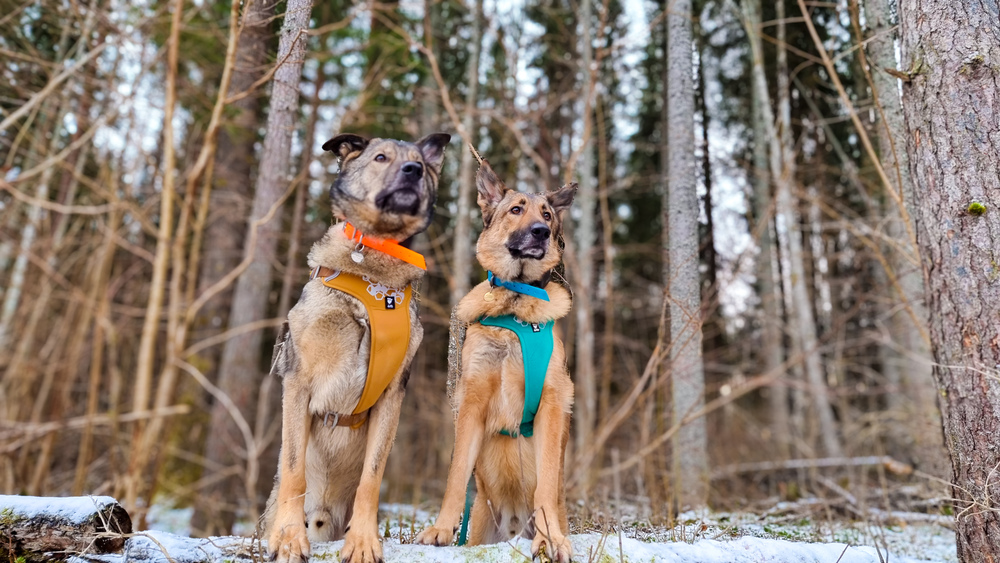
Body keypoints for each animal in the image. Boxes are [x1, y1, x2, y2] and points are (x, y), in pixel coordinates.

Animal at [268, 133, 452, 563]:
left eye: (420, 163)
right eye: (381, 157)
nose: (412, 171)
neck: (374, 262)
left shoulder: (392, 394)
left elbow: (372, 478)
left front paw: (364, 541)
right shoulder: (297, 381)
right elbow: (294, 469)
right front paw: (288, 537)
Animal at [416, 160, 580, 563]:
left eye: (547, 214)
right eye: (516, 209)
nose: (541, 232)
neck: (514, 305)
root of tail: (513, 524)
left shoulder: (553, 404)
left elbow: (546, 481)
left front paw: (549, 539)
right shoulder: (471, 403)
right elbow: (457, 473)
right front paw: (441, 529)